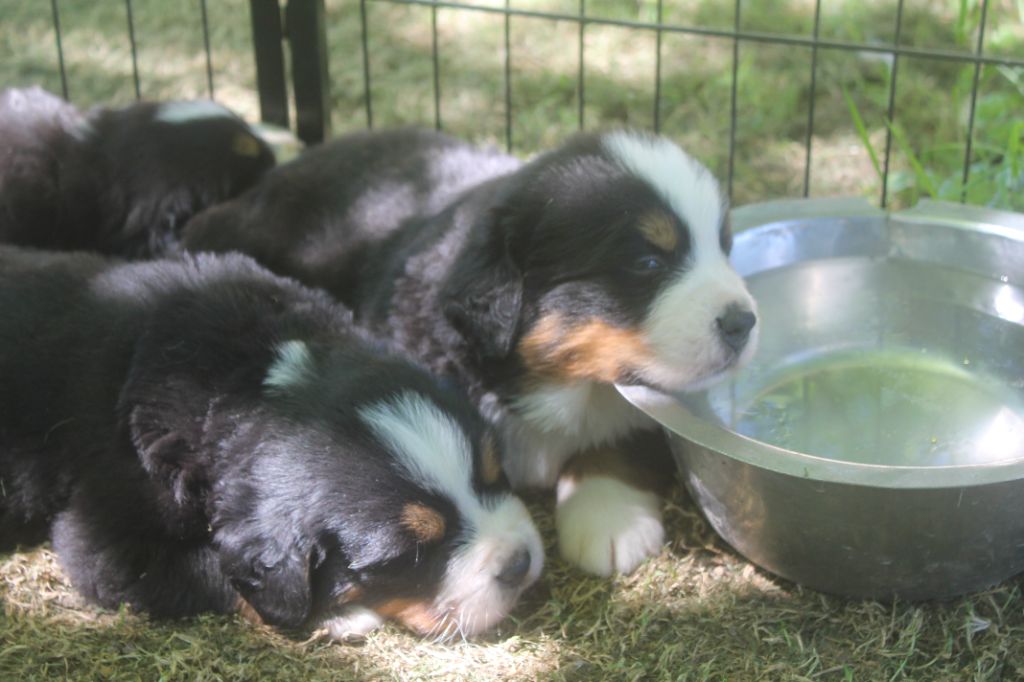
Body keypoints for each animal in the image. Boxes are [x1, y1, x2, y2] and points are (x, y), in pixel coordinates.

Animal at [0, 246, 544, 638]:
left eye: (496, 474)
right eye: (410, 556)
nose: (519, 562)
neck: (249, 379)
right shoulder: (107, 539)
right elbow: (212, 573)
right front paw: (340, 615)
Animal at [182, 125, 761, 573]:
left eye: (725, 248)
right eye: (647, 263)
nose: (744, 322)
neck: (556, 384)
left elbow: (624, 438)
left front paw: (608, 516)